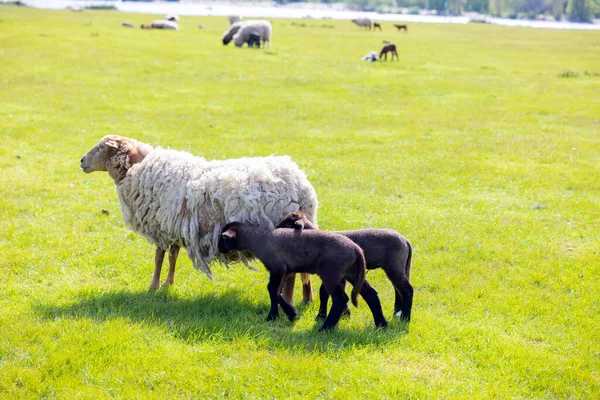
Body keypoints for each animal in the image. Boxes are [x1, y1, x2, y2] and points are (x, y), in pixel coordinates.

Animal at [82, 134, 324, 304]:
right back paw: (307, 299)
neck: (138, 168)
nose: (82, 161)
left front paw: (153, 286)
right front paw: (168, 284)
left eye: (102, 147)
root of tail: (303, 187)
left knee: (291, 273)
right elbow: (173, 257)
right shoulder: (176, 228)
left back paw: (288, 300)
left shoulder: (161, 228)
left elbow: (159, 258)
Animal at [276, 212, 412, 322]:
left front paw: (323, 316)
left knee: (407, 290)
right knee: (398, 290)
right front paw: (343, 315)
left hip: (394, 265)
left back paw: (405, 318)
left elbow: (324, 292)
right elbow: (325, 292)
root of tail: (406, 241)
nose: (275, 232)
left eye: (288, 224)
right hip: (399, 266)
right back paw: (397, 313)